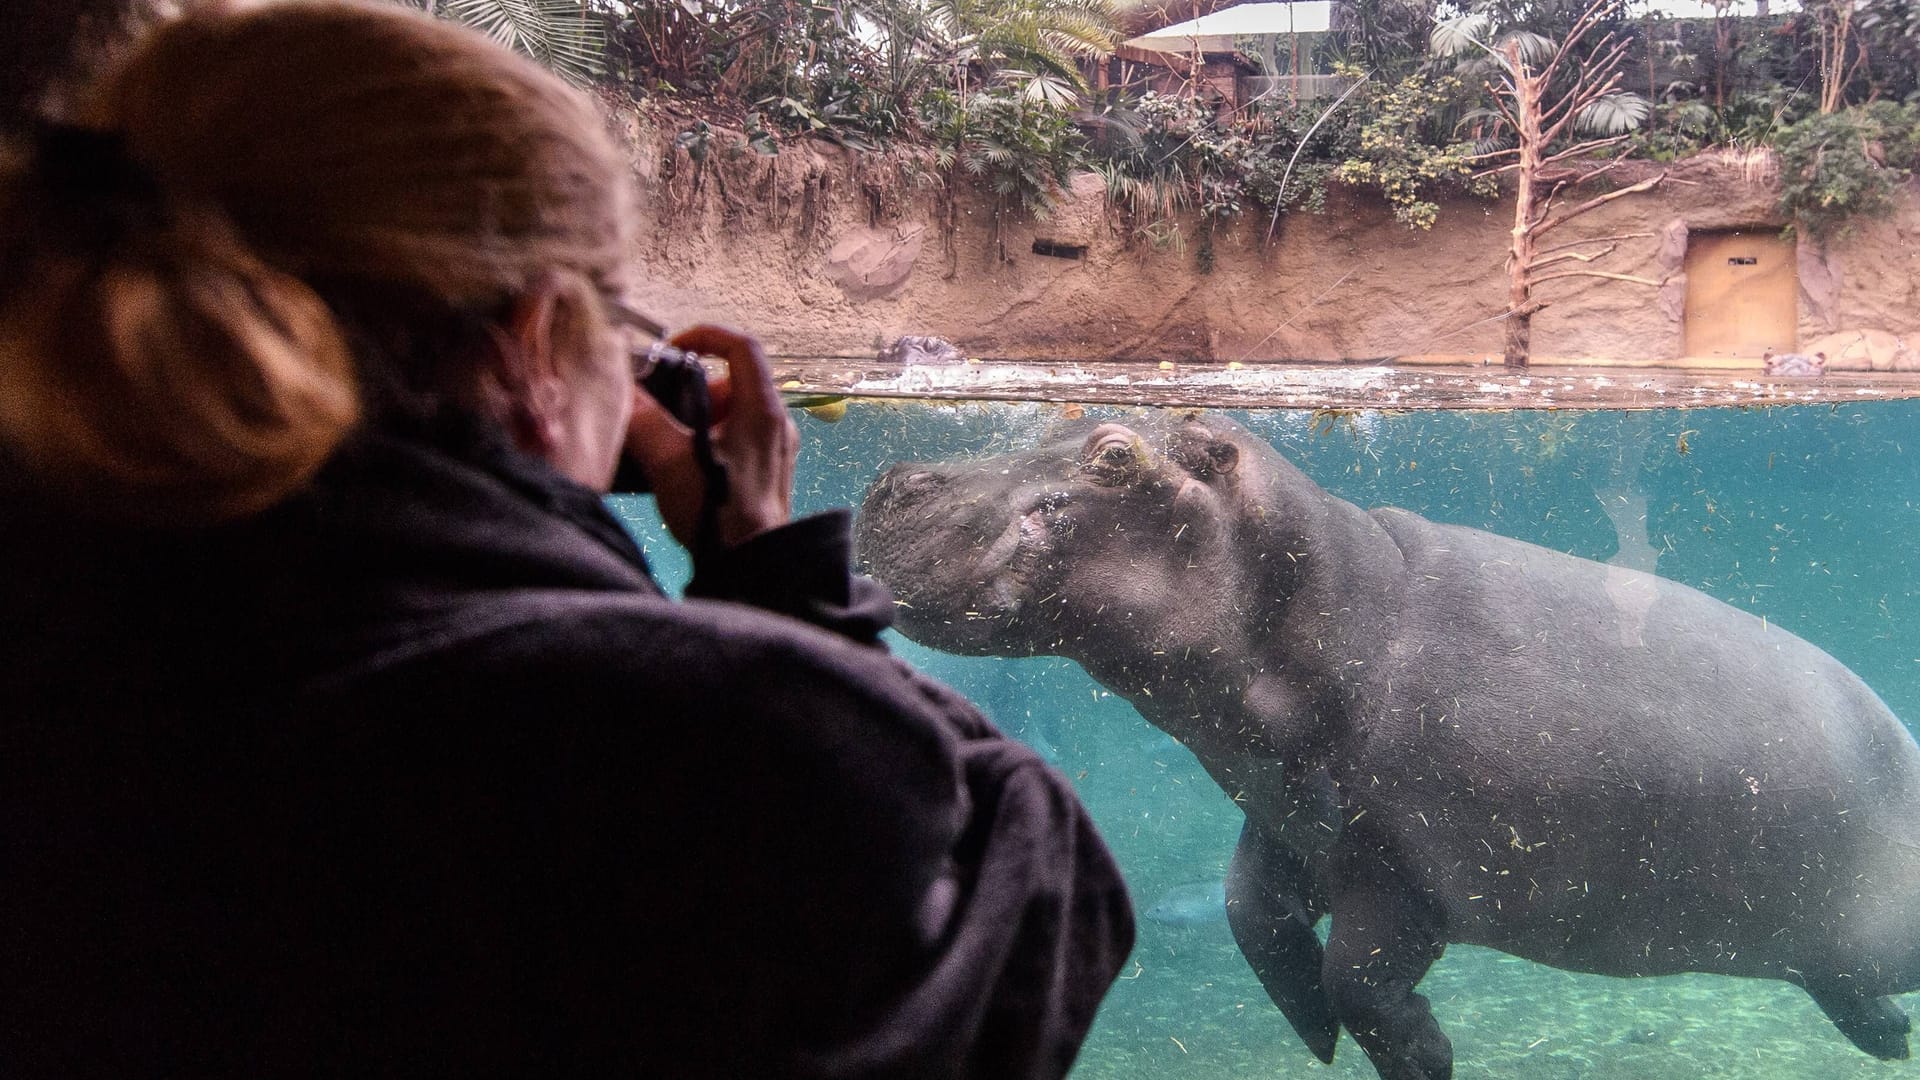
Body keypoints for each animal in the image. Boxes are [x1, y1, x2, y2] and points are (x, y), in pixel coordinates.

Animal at [864, 409, 1920, 1076]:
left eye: (1115, 457)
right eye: (1059, 419)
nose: (893, 480)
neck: (1335, 597)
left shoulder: (1403, 871)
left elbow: (1358, 978)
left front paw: (1424, 1055)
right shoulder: (1287, 821)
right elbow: (1253, 919)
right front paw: (1313, 1035)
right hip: (1828, 952)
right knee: (1847, 986)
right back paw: (1889, 1036)